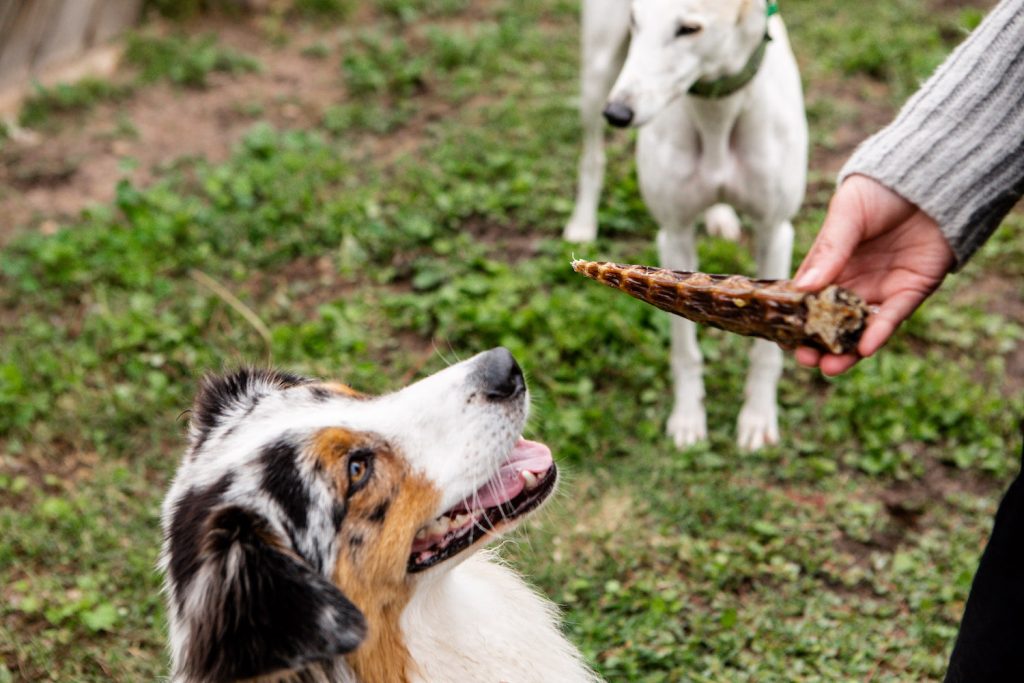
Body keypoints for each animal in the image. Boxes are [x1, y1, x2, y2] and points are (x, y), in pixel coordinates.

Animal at [565, 0, 802, 450]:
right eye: (636, 21)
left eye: (689, 29)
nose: (618, 113)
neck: (716, 113)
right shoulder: (673, 235)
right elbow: (683, 346)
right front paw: (689, 418)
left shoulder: (775, 230)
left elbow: (767, 350)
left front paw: (758, 417)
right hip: (597, 73)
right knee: (591, 156)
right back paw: (583, 221)